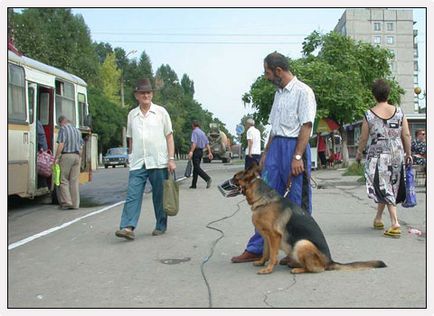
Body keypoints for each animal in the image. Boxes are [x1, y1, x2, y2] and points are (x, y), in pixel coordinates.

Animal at [231, 163, 386, 274]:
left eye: (235, 178)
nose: (226, 183)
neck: (263, 199)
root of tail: (330, 261)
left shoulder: (274, 236)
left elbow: (273, 256)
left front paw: (268, 269)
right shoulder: (266, 236)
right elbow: (266, 252)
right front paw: (261, 262)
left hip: (302, 243)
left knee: (315, 269)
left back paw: (297, 268)